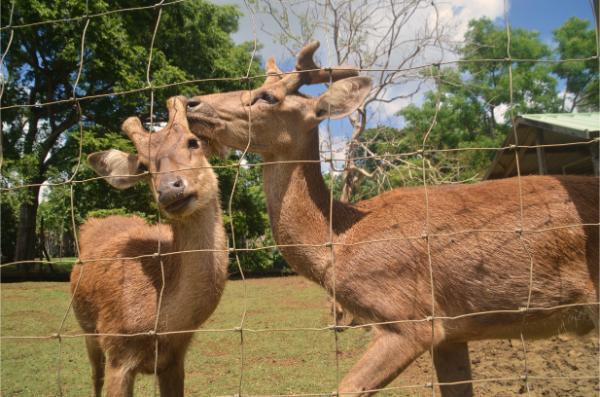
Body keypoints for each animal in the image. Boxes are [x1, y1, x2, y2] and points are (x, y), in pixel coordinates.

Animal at [70, 96, 229, 396]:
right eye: (143, 165)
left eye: (193, 142)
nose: (170, 189)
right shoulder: (116, 351)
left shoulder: (175, 359)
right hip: (87, 332)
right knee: (94, 376)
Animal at [185, 41, 596, 394]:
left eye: (268, 96)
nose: (191, 102)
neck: (340, 240)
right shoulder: (453, 331)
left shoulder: (409, 317)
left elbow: (346, 388)